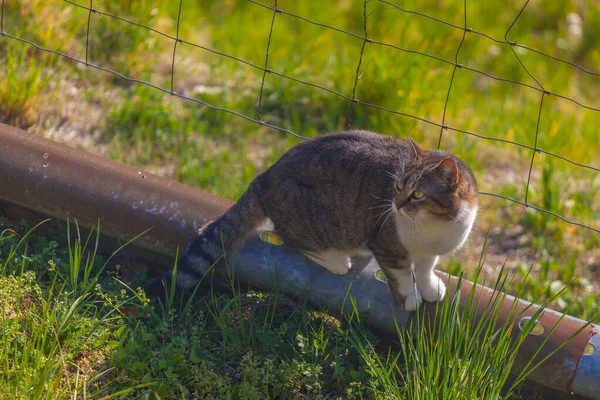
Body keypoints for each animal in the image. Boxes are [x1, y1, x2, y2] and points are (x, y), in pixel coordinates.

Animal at [144, 130, 478, 310]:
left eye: (418, 194)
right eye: (397, 187)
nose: (395, 205)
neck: (435, 228)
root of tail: (265, 175)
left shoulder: (430, 253)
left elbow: (425, 269)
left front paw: (431, 288)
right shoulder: (387, 247)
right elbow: (402, 276)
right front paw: (410, 299)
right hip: (311, 219)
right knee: (298, 242)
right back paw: (337, 257)